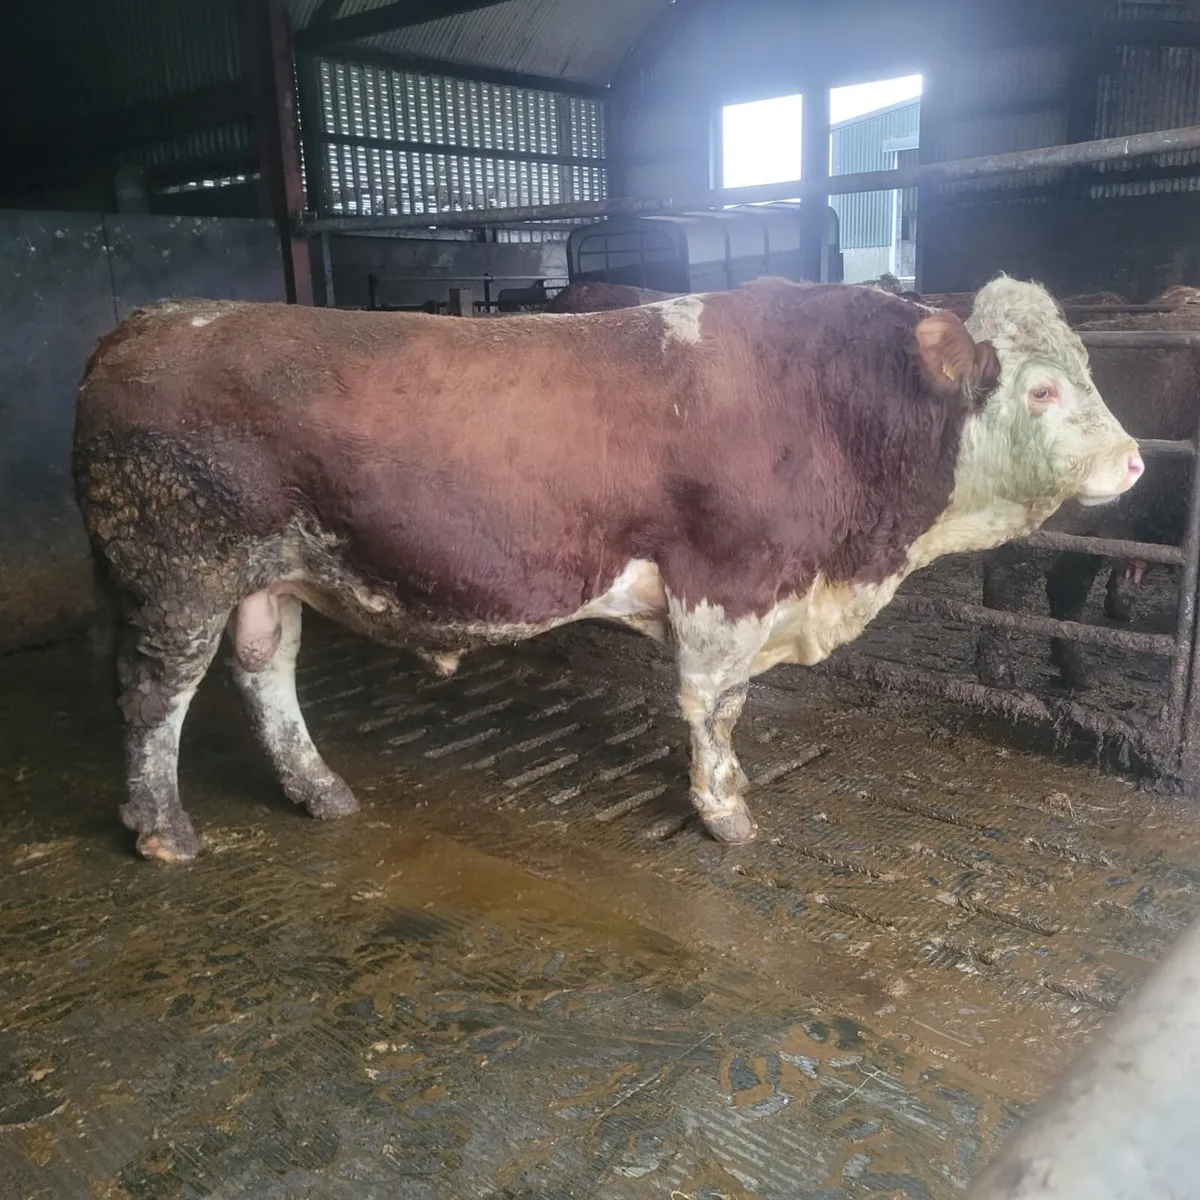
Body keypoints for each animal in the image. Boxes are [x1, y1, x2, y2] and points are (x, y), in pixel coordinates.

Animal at [73, 276, 1143, 862]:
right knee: (152, 698)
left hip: (269, 574)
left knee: (265, 670)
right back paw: (162, 830)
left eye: (1090, 368)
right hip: (176, 576)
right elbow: (714, 705)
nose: (1134, 461)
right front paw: (724, 810)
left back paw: (317, 789)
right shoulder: (724, 582)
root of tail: (150, 321)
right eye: (1042, 390)